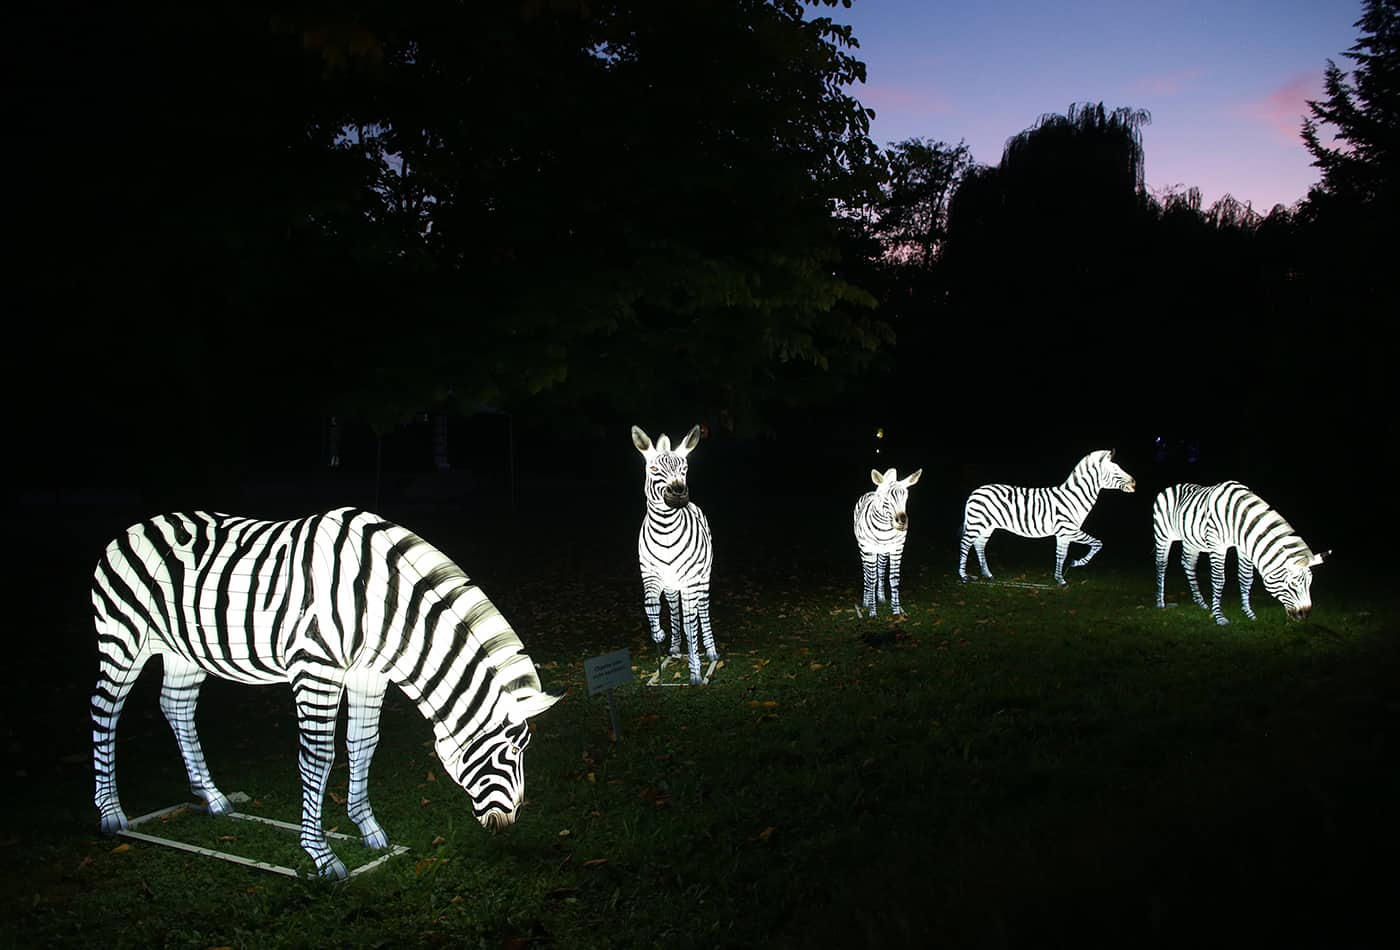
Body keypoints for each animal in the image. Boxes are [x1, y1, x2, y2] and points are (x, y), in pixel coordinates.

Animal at [88, 509, 562, 878]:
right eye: (508, 752)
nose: (510, 821)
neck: (382, 604)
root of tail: (130, 528)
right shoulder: (314, 670)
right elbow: (319, 757)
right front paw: (322, 857)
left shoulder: (368, 674)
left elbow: (363, 744)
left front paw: (369, 831)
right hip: (123, 637)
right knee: (103, 710)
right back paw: (111, 815)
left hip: (180, 648)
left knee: (176, 706)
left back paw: (213, 798)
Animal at [638, 422, 716, 682]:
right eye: (652, 467)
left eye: (685, 467)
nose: (679, 493)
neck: (665, 530)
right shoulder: (650, 575)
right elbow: (650, 605)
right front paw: (659, 636)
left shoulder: (691, 579)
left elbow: (690, 623)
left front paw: (695, 673)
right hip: (672, 584)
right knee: (673, 608)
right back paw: (673, 649)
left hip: (702, 577)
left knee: (702, 608)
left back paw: (710, 652)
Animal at [851, 467, 918, 615]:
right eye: (886, 497)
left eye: (906, 496)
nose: (902, 522)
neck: (885, 529)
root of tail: (871, 492)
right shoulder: (869, 549)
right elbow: (871, 579)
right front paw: (872, 611)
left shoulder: (897, 549)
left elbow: (894, 578)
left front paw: (897, 610)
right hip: (863, 549)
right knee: (867, 574)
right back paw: (866, 602)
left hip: (883, 552)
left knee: (880, 571)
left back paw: (881, 597)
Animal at [957, 447, 1142, 587]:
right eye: (1115, 470)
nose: (1134, 483)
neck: (1075, 497)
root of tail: (975, 491)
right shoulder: (1069, 529)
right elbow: (1097, 543)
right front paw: (1076, 564)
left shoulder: (1063, 534)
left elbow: (1061, 555)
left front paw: (1060, 579)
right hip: (977, 523)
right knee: (965, 543)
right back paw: (963, 576)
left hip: (987, 526)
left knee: (979, 545)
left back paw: (987, 574)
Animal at [1153, 484, 1327, 624]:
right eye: (1292, 585)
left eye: (1309, 584)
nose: (1305, 614)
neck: (1238, 520)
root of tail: (1171, 487)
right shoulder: (1217, 546)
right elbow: (1219, 580)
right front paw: (1219, 617)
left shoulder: (1244, 548)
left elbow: (1246, 579)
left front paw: (1249, 613)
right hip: (1163, 535)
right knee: (1161, 565)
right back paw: (1160, 604)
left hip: (1191, 540)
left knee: (1187, 564)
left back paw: (1201, 603)